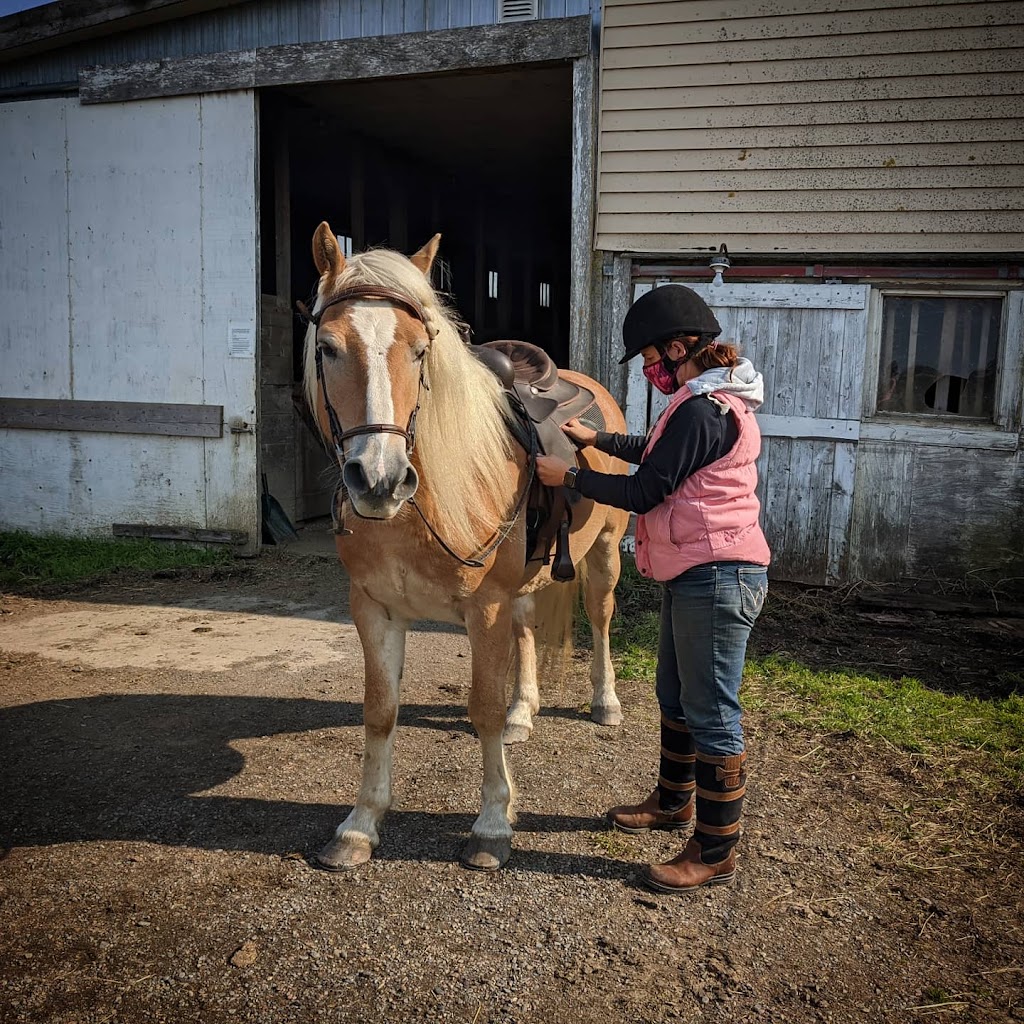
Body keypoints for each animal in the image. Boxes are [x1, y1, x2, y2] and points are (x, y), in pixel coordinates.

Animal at [299, 224, 626, 872]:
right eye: (327, 348)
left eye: (419, 351)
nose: (379, 479)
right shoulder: (374, 609)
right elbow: (380, 711)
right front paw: (359, 825)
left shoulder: (484, 608)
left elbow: (483, 709)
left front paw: (493, 825)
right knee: (527, 632)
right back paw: (527, 711)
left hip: (603, 554)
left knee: (600, 621)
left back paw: (605, 704)